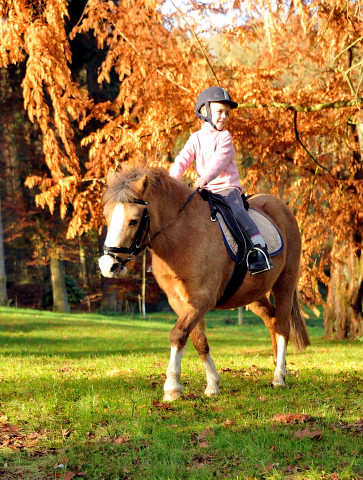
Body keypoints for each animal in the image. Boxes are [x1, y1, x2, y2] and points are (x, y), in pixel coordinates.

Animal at [98, 167, 312, 400]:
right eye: (107, 216)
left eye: (134, 221)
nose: (108, 265)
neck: (181, 234)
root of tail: (280, 206)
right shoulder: (179, 301)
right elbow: (198, 340)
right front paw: (212, 385)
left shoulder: (202, 298)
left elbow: (178, 334)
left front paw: (172, 387)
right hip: (253, 294)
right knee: (271, 319)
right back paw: (277, 365)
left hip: (285, 282)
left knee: (282, 326)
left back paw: (279, 376)